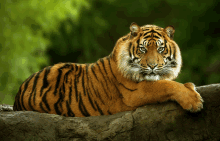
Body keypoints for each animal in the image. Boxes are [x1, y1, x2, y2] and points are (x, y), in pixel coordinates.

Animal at [13, 22, 203, 117]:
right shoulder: (135, 93)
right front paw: (194, 101)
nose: (152, 66)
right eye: (143, 49)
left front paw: (191, 88)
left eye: (160, 49)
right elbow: (167, 85)